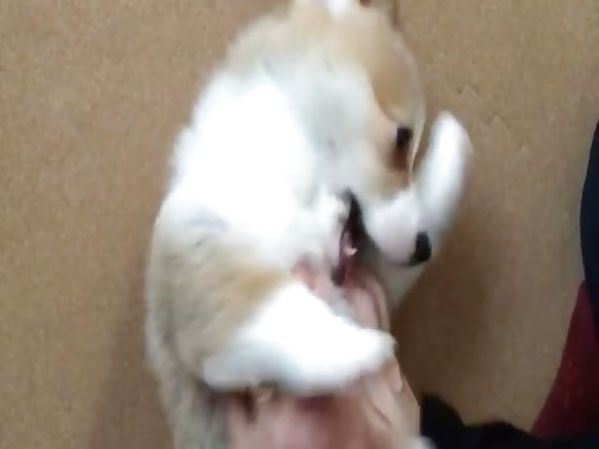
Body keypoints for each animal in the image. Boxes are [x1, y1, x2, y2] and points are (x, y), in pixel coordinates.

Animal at [144, 0, 471, 447]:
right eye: (403, 137)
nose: (424, 248)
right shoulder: (210, 270)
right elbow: (283, 318)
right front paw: (367, 347)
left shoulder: (374, 275)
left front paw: (453, 141)